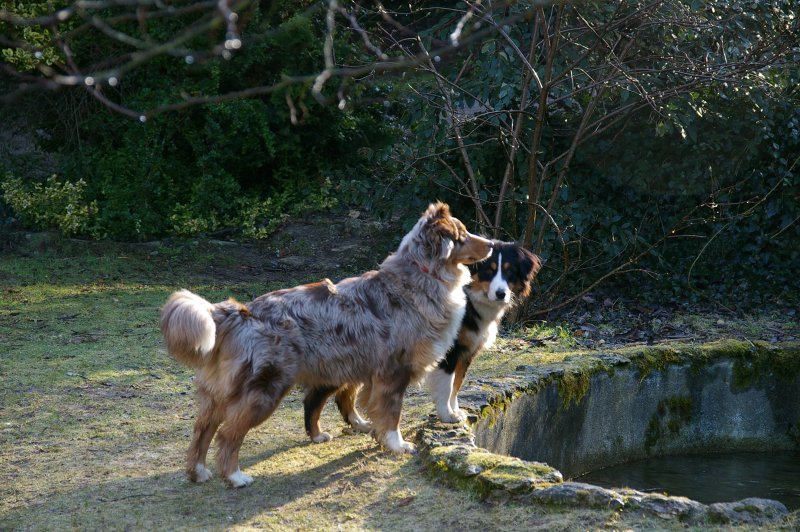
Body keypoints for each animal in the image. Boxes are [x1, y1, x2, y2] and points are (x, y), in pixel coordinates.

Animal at [424, 239, 544, 422]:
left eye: (510, 271)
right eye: (489, 270)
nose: (501, 294)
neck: (471, 300)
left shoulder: (469, 350)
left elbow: (457, 383)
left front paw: (455, 410)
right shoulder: (451, 349)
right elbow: (447, 384)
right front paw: (447, 415)